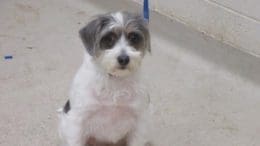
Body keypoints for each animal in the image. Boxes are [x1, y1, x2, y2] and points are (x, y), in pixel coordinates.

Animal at [58, 11, 152, 146]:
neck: (115, 79)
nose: (124, 59)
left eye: (133, 37)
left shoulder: (140, 122)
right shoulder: (77, 122)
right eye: (109, 38)